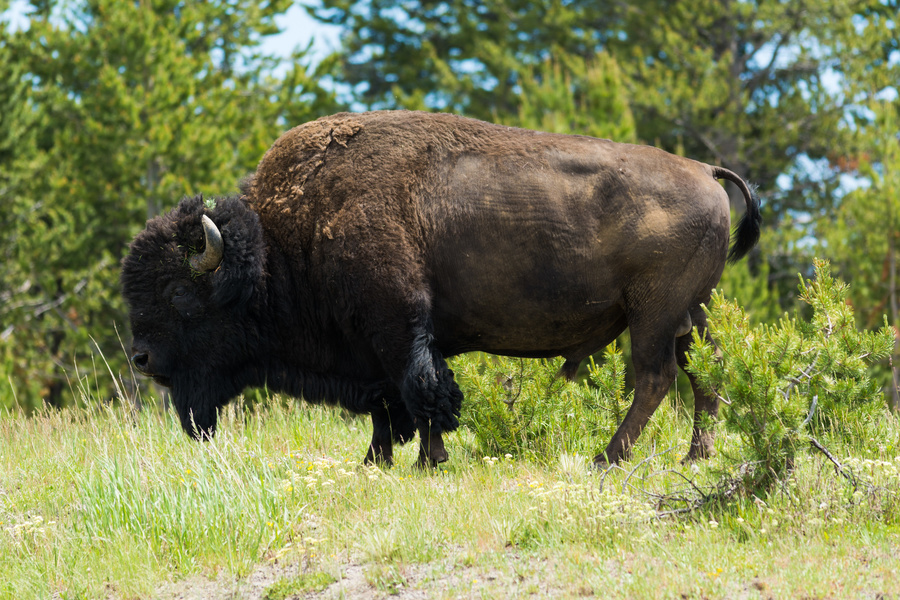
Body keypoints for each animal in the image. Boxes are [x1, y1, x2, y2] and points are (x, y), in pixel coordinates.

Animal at [122, 110, 760, 467]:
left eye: (179, 297)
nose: (141, 358)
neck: (283, 244)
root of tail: (705, 170)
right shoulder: (373, 348)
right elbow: (388, 405)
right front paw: (376, 463)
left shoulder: (399, 327)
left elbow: (423, 393)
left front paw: (426, 462)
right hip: (693, 312)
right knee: (706, 371)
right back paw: (695, 456)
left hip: (653, 314)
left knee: (656, 377)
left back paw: (607, 459)